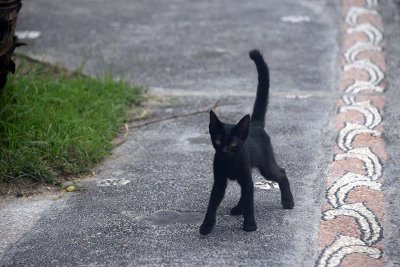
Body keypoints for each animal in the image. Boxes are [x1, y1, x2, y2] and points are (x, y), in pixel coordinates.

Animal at [199, 49, 294, 236]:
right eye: (218, 140)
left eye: (234, 143)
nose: (224, 150)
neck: (229, 162)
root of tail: (255, 125)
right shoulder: (219, 180)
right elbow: (213, 202)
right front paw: (207, 225)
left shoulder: (245, 174)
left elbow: (250, 200)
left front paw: (250, 224)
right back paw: (238, 209)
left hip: (265, 166)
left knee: (280, 173)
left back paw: (288, 201)